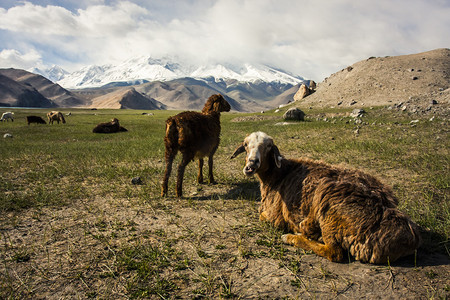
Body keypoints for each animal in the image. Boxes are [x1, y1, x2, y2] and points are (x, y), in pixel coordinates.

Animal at [232, 132, 422, 264]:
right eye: (246, 145)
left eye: (268, 147)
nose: (251, 164)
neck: (277, 175)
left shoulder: (274, 217)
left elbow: (262, 216)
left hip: (330, 209)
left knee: (334, 252)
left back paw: (294, 237)